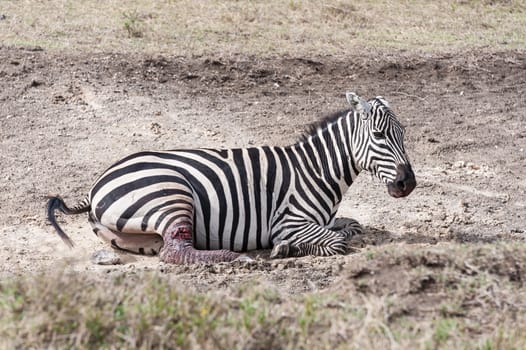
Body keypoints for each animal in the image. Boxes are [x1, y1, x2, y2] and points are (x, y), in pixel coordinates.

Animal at [46, 91, 416, 264]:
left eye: (403, 134)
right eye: (380, 135)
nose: (407, 184)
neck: (316, 169)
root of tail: (97, 184)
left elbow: (353, 226)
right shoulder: (289, 221)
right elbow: (337, 241)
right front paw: (285, 248)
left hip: (137, 235)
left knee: (169, 247)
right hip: (172, 194)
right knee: (178, 251)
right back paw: (237, 258)